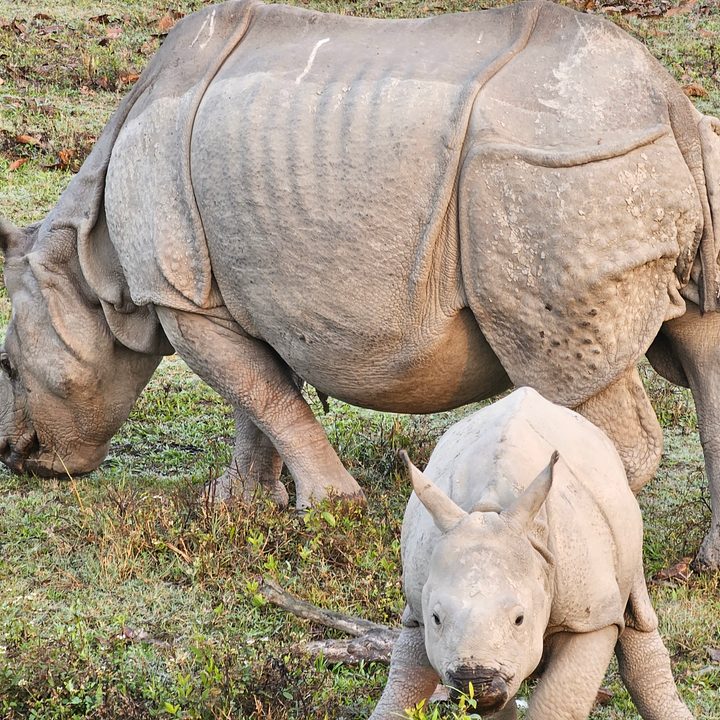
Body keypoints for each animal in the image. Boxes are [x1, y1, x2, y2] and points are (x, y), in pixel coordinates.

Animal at [2, 0, 720, 565]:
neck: (85, 262)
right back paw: (699, 567)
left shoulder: (181, 296)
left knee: (568, 376)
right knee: (702, 349)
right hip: (621, 159)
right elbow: (259, 399)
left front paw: (326, 512)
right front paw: (235, 508)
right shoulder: (234, 294)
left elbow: (258, 394)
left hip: (557, 168)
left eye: (8, 367)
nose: (14, 454)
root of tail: (668, 101)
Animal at [371, 387, 693, 720]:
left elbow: (558, 701)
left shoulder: (590, 618)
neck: (489, 509)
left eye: (519, 619)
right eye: (436, 618)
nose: (476, 684)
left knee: (636, 611)